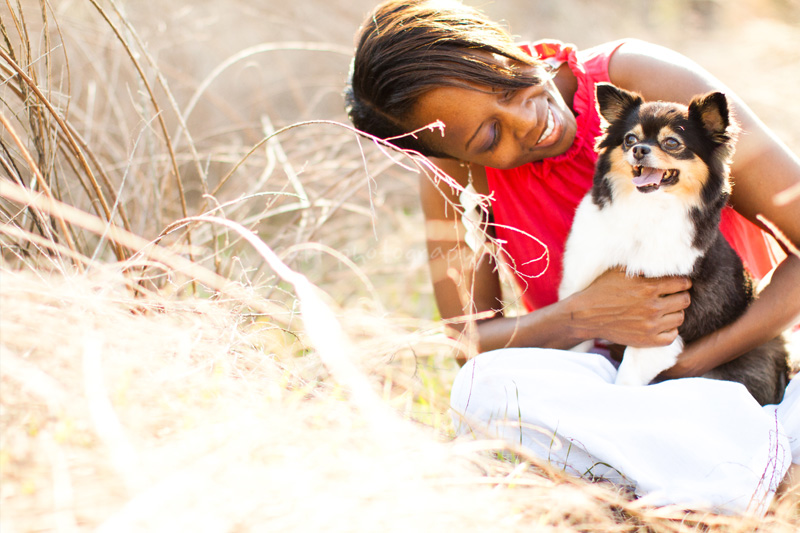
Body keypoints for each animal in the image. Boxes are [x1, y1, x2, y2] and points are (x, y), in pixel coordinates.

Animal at [560, 82, 792, 404]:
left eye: (672, 143)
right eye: (629, 139)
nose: (639, 149)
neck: (645, 208)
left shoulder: (660, 327)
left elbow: (627, 376)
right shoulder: (580, 286)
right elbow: (576, 341)